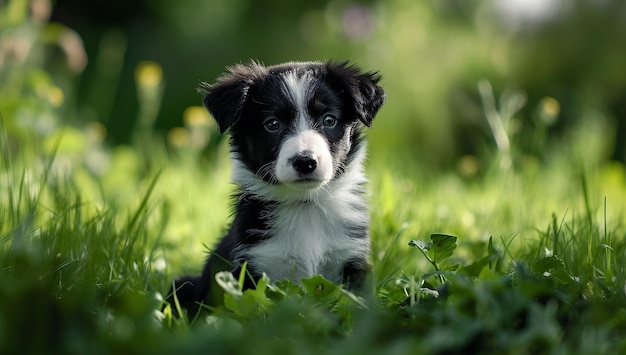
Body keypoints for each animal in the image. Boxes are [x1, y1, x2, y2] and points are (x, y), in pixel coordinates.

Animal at [169, 61, 386, 318]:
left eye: (329, 120)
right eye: (272, 124)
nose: (305, 161)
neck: (305, 206)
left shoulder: (352, 259)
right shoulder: (252, 265)